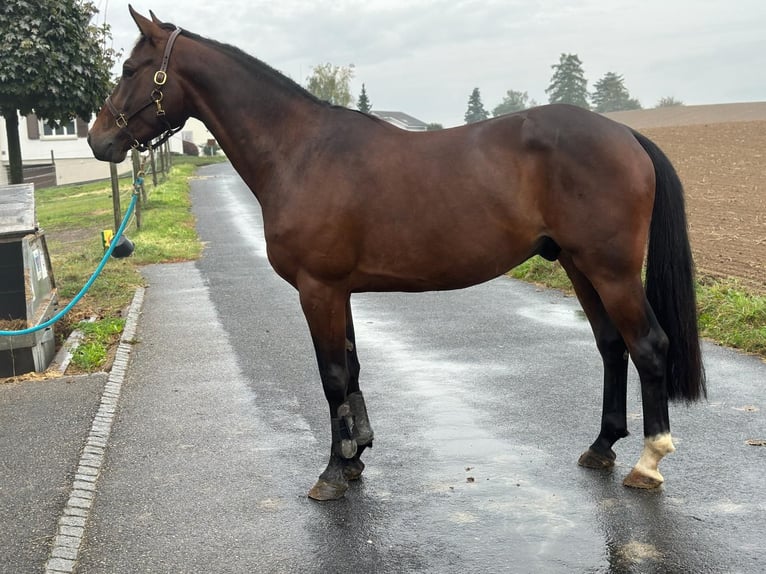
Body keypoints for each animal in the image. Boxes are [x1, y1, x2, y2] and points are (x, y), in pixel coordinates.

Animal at [88, 6, 708, 502]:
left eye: (129, 70)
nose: (98, 140)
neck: (301, 151)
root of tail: (626, 135)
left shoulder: (318, 289)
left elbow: (332, 377)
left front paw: (332, 474)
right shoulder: (338, 290)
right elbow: (352, 370)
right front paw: (356, 455)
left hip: (612, 270)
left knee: (648, 346)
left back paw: (648, 462)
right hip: (582, 267)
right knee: (611, 346)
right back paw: (601, 446)